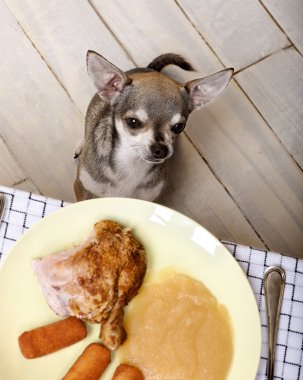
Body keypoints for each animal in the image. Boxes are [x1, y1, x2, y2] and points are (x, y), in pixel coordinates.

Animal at [73, 52, 233, 203]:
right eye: (133, 122)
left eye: (179, 126)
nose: (161, 150)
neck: (132, 164)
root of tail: (150, 68)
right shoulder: (82, 188)